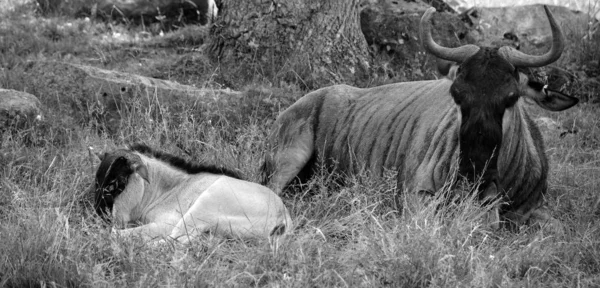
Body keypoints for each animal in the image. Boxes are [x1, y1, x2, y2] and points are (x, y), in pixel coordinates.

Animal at [91, 143, 292, 243]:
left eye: (116, 183)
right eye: (97, 182)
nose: (100, 217)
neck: (170, 187)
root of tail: (282, 217)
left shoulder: (165, 223)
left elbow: (117, 233)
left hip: (203, 207)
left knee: (171, 242)